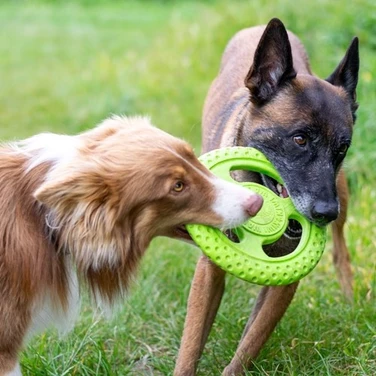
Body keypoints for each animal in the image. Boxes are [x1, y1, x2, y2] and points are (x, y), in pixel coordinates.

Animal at [175, 18, 360, 376]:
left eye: (342, 149)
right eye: (300, 139)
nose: (325, 212)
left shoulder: (287, 282)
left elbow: (252, 340)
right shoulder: (208, 271)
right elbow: (191, 345)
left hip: (342, 192)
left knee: (341, 251)